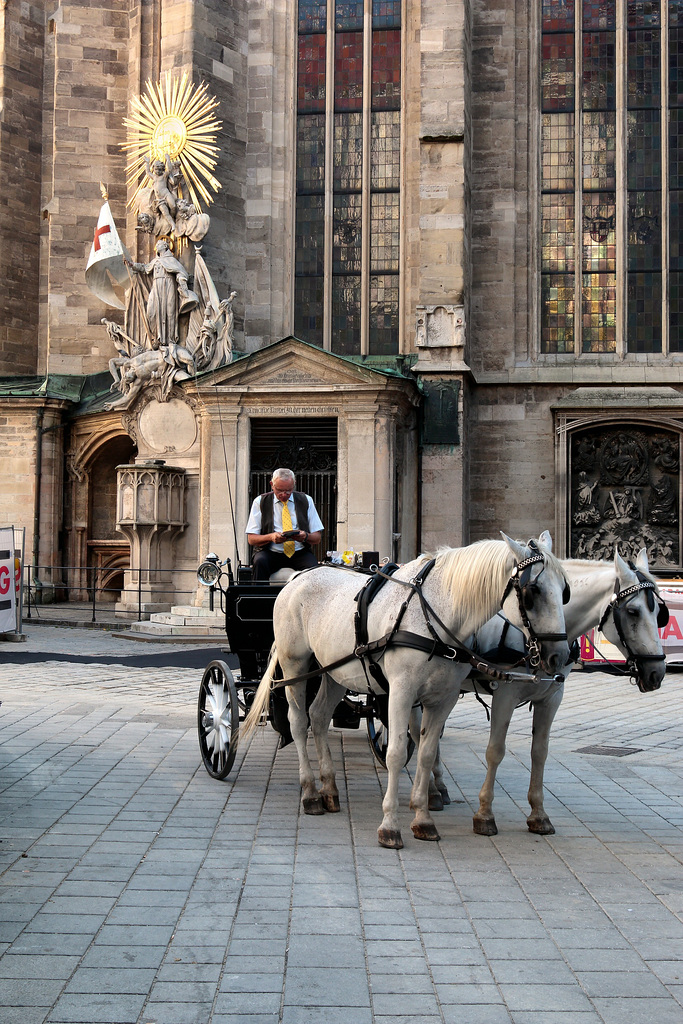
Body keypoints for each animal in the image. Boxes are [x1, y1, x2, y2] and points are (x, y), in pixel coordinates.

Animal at [241, 536, 573, 847]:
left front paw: (423, 818)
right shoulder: (401, 692)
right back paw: (310, 792)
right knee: (299, 722)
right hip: (295, 664)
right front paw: (390, 825)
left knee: (319, 717)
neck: (438, 615)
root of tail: (297, 577)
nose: (559, 656)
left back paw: (330, 789)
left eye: (565, 591)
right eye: (533, 591)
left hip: (334, 670)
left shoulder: (443, 699)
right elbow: (397, 752)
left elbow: (426, 753)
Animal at [464, 540, 667, 835]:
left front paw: (538, 814)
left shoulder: (551, 697)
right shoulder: (505, 694)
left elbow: (540, 751)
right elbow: (495, 751)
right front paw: (484, 814)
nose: (656, 672)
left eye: (659, 613)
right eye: (633, 611)